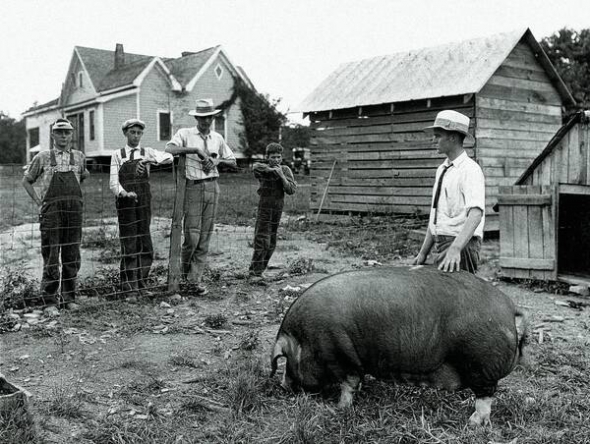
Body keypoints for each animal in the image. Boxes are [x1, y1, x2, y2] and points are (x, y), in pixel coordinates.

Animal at [270, 266, 528, 424]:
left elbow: (348, 384)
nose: (282, 386)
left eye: (286, 360)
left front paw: (339, 408)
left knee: (485, 397)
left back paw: (472, 422)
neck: (305, 340)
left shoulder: (339, 355)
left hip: (481, 364)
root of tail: (510, 309)